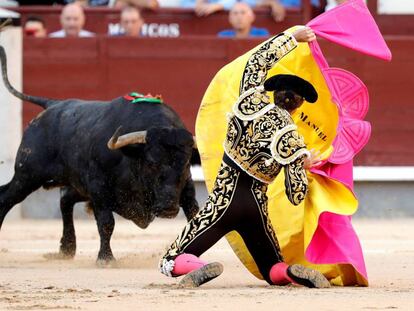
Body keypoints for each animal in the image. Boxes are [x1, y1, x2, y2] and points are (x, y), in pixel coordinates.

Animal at [0, 44, 199, 264]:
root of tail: (53, 104)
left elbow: (194, 214)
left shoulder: (187, 186)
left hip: (73, 182)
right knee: (5, 199)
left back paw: (66, 249)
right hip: (27, 175)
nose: (168, 208)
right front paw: (106, 258)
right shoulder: (98, 188)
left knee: (65, 200)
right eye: (151, 163)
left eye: (186, 163)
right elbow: (106, 222)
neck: (131, 160)